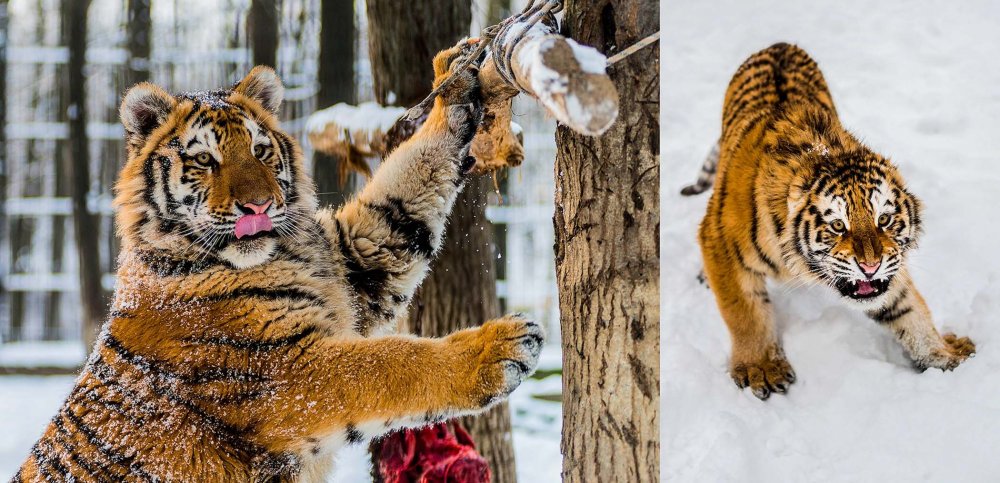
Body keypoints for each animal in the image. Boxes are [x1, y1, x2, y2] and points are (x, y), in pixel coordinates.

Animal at [11, 39, 544, 482]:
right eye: (204, 160)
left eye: (261, 150)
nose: (259, 207)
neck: (274, 256)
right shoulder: (285, 370)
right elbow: (394, 362)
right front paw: (503, 347)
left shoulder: (355, 260)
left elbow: (403, 195)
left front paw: (454, 86)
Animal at [684, 43, 972, 400]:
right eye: (837, 226)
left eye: (884, 219)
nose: (870, 266)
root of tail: (779, 44)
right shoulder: (721, 242)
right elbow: (745, 313)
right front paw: (760, 368)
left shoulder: (891, 268)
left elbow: (910, 311)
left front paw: (944, 353)